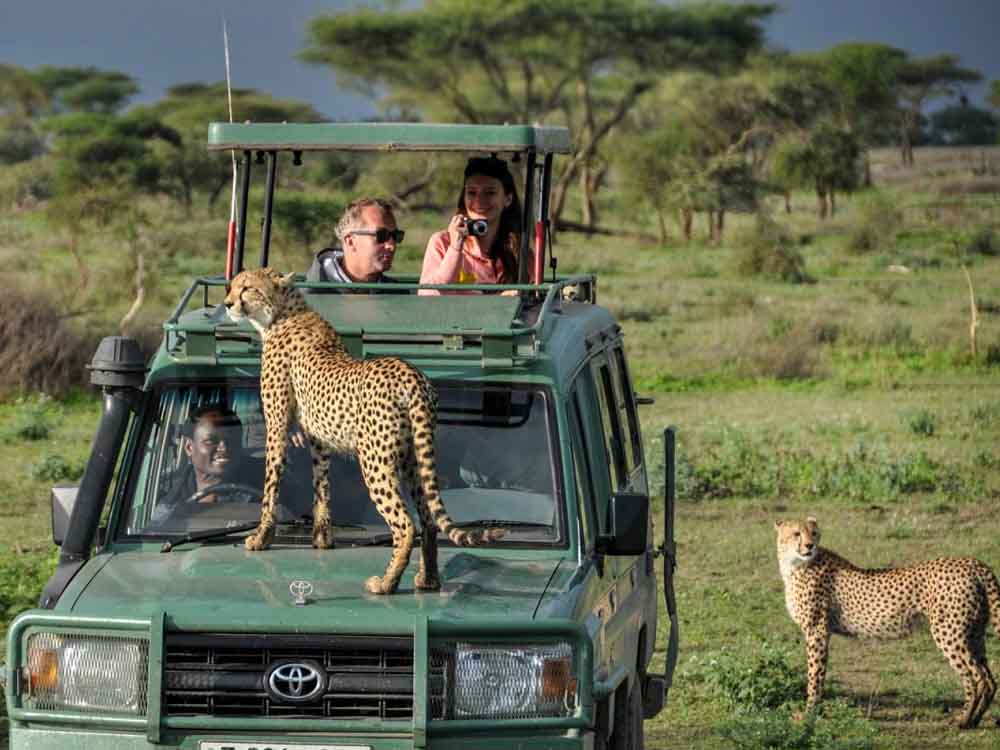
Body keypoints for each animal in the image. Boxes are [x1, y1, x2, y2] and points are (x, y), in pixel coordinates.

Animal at [221, 268, 500, 596]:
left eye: (247, 288)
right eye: (232, 286)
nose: (227, 304)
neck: (283, 313)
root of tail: (412, 375)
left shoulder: (276, 425)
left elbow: (270, 482)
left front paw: (260, 537)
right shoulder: (319, 438)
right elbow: (322, 485)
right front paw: (322, 538)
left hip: (375, 462)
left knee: (405, 523)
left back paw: (386, 583)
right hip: (414, 457)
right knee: (428, 518)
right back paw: (428, 579)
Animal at [772, 516, 1000, 728]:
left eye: (814, 533)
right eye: (796, 534)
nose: (810, 545)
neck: (794, 564)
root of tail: (973, 563)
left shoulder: (817, 630)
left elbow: (815, 674)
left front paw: (809, 714)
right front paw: (812, 712)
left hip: (948, 633)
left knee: (975, 677)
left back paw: (963, 720)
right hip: (974, 633)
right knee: (990, 679)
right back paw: (975, 719)